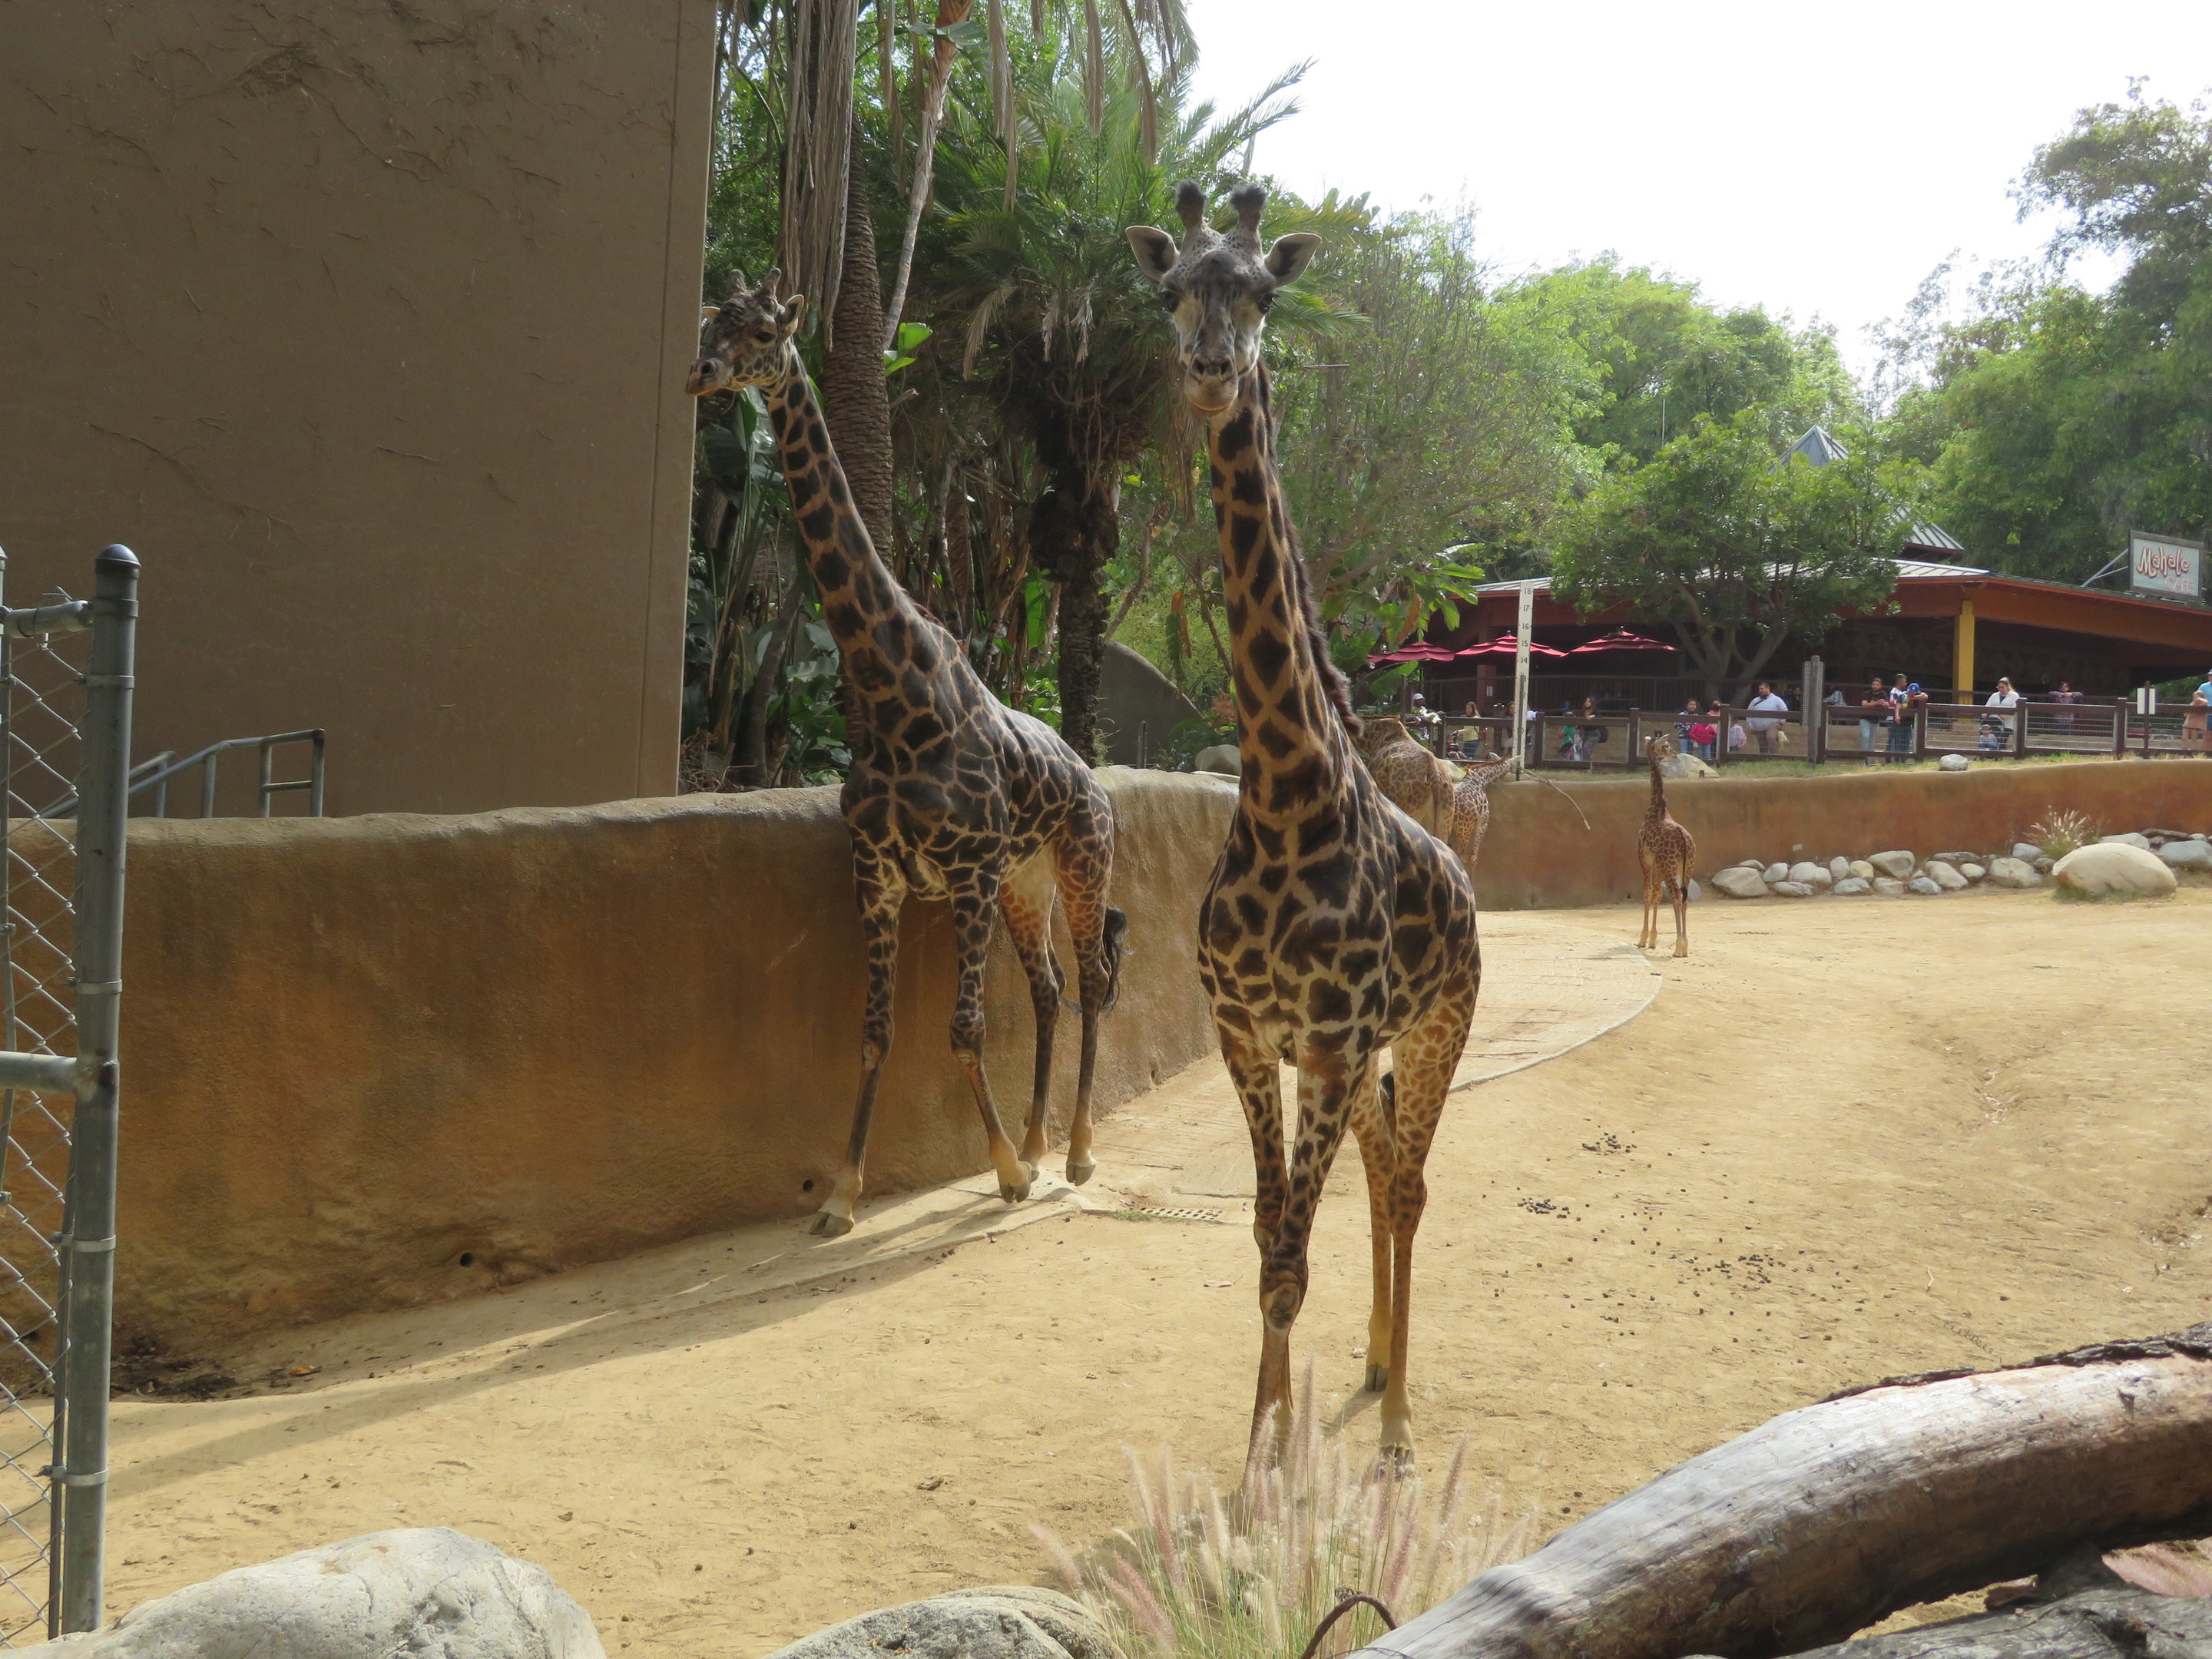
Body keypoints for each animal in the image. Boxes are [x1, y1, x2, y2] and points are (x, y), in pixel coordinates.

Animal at [687, 269, 1128, 1236]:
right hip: (1023, 881)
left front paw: (1004, 1173)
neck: (892, 697)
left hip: (1081, 863)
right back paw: (1042, 1142)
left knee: (1090, 978)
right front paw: (842, 1195)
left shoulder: (962, 872)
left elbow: (962, 1027)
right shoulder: (878, 874)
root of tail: (1091, 777)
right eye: (710, 321)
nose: (700, 374)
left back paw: (1075, 1153)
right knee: (1048, 989)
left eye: (765, 334)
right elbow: (875, 1030)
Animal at [1127, 185, 1480, 1468]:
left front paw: (1276, 1464)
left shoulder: (1325, 1044)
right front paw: (1261, 1448)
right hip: (1373, 1053)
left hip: (1436, 1027)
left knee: (1412, 1185)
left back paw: (1402, 1425)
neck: (1283, 799)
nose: (1210, 371)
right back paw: (1374, 1369)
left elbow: (1290, 1259)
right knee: (1381, 1170)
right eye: (1171, 286)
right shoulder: (1249, 1039)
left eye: (1264, 293)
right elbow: (1267, 1243)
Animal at [1639, 734, 1696, 957]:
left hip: (1671, 865)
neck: (1656, 807)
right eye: (1666, 745)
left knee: (1677, 895)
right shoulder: (1658, 863)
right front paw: (1653, 939)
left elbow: (1647, 892)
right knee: (1685, 898)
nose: (1675, 753)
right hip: (1687, 867)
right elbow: (1656, 894)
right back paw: (1685, 945)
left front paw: (1643, 938)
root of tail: (1685, 841)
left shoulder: (1644, 857)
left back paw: (1679, 946)